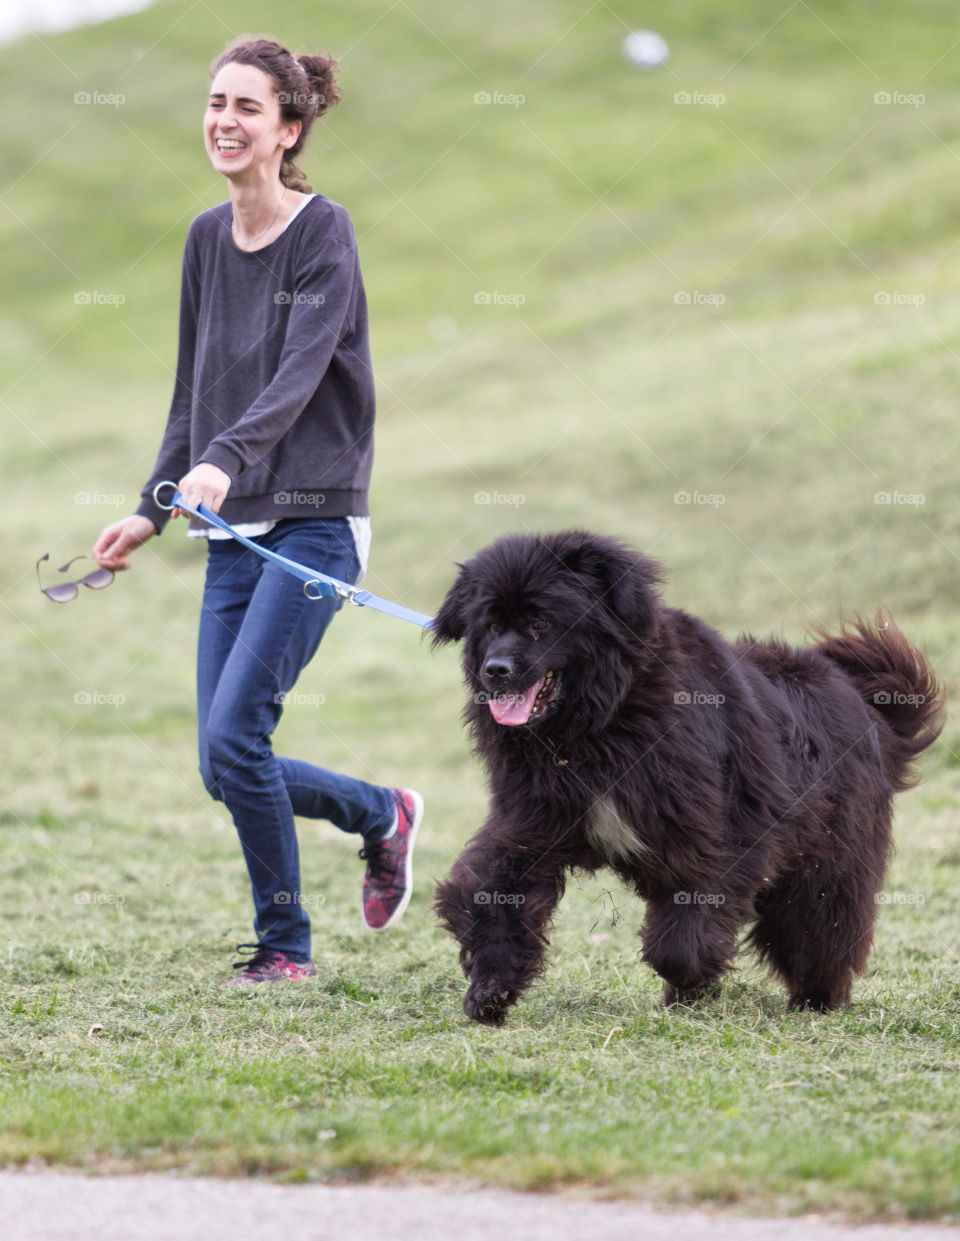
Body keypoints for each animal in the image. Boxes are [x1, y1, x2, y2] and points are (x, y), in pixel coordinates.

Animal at [431, 528, 942, 1022]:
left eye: (541, 623)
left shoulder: (715, 823)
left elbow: (690, 920)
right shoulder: (535, 814)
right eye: (491, 625)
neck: (596, 724)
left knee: (821, 919)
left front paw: (690, 983)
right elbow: (497, 887)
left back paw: (816, 1000)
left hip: (830, 844)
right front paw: (489, 990)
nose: (495, 670)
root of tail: (867, 707)